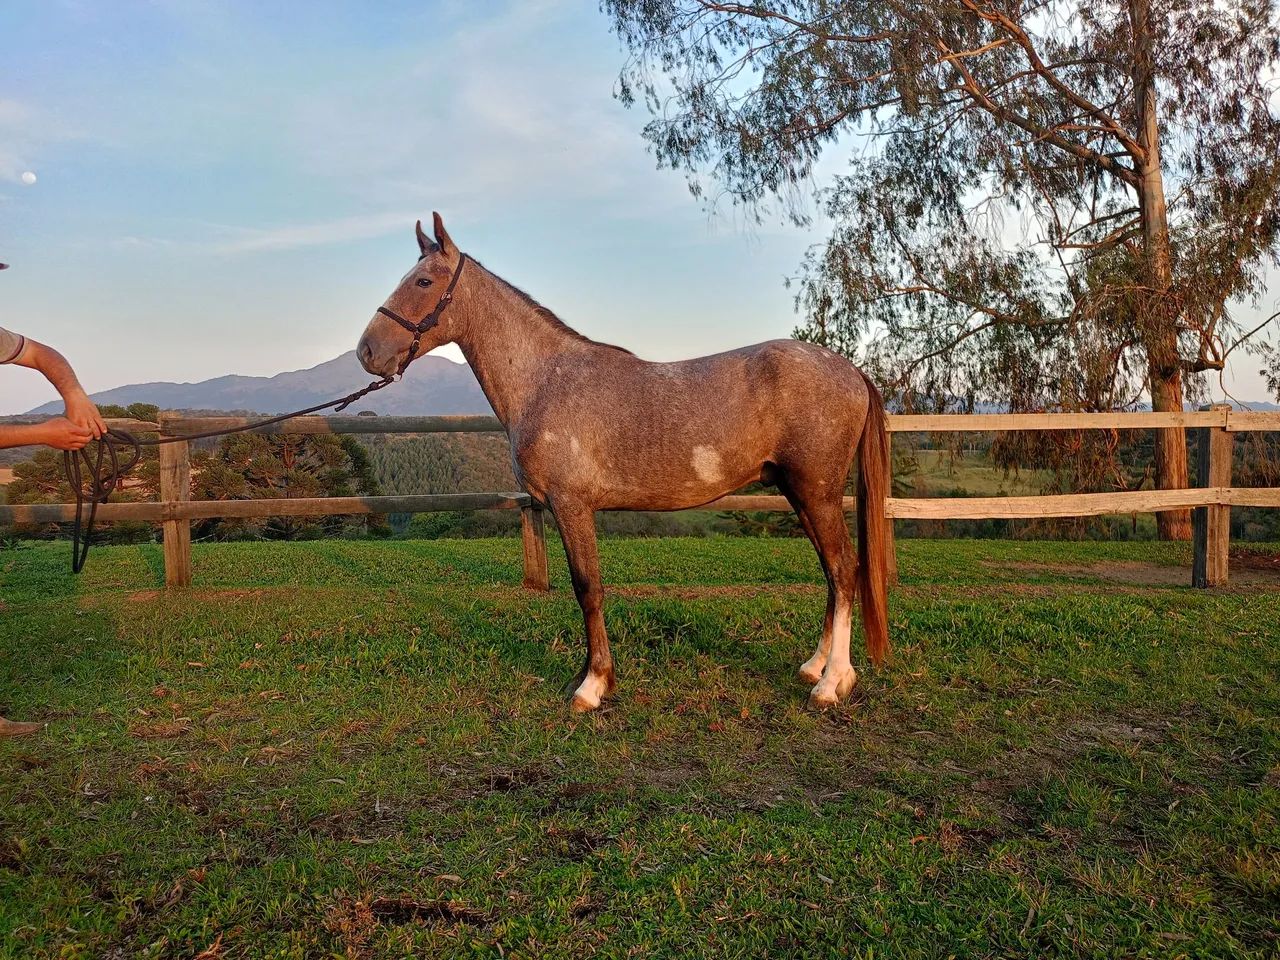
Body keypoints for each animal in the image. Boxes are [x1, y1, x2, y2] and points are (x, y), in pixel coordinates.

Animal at [357, 214, 890, 712]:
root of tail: (851, 369)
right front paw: (583, 675)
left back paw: (831, 684)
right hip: (799, 492)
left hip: (816, 491)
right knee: (834, 572)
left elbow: (587, 588)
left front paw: (592, 687)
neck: (546, 379)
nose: (367, 352)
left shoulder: (572, 506)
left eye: (423, 281)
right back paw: (815, 666)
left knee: (843, 569)